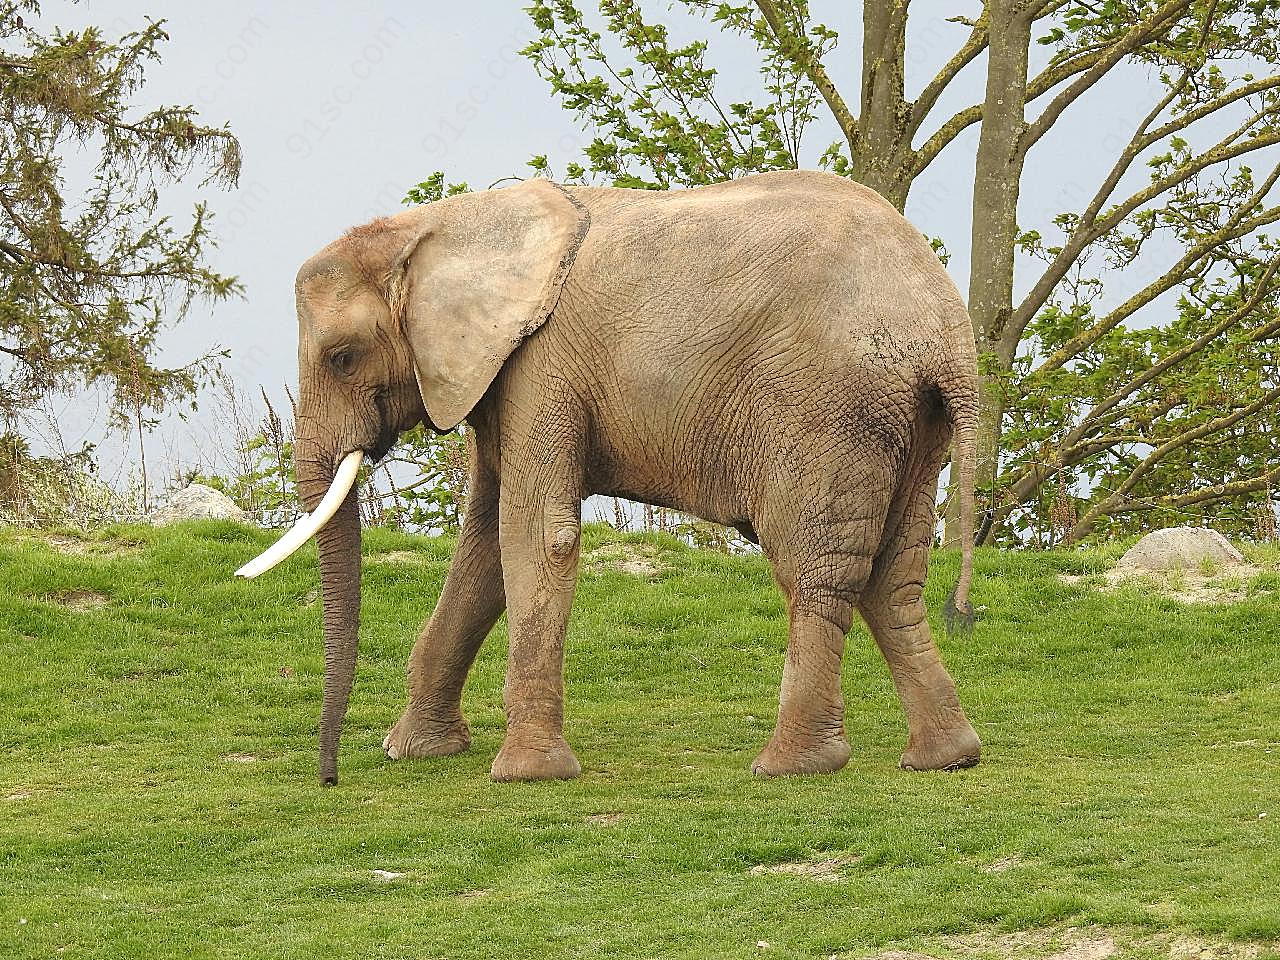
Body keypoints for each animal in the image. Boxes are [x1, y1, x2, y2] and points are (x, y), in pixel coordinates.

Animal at [238, 168, 977, 783]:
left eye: (341, 356)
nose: (330, 778)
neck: (434, 227)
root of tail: (948, 333)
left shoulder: (540, 365)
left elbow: (534, 537)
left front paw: (526, 776)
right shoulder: (502, 377)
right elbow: (482, 552)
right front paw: (415, 752)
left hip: (827, 410)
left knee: (815, 568)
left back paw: (791, 766)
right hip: (910, 424)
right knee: (892, 575)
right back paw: (945, 758)